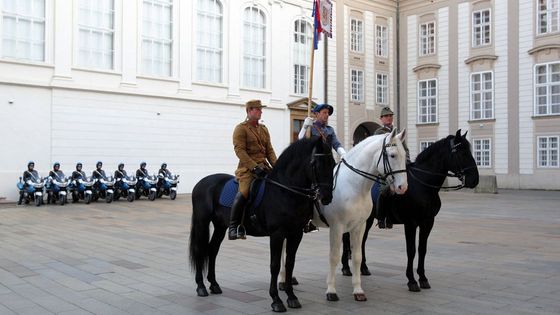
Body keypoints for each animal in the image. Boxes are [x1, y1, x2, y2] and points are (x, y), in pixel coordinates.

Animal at [190, 138, 334, 314]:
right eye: (316, 164)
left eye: (333, 164)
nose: (327, 197)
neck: (286, 191)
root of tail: (201, 182)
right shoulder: (277, 235)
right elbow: (275, 265)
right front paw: (276, 300)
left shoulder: (296, 234)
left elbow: (290, 264)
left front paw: (292, 297)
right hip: (202, 222)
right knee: (200, 249)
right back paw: (201, 287)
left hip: (220, 226)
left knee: (212, 250)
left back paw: (214, 285)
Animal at [278, 129, 406, 304]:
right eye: (392, 155)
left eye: (405, 154)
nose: (402, 187)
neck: (354, 186)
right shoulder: (337, 227)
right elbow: (334, 256)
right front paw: (331, 290)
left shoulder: (359, 226)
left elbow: (357, 256)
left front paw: (358, 290)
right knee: (283, 248)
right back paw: (282, 280)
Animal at [342, 130, 476, 292]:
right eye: (462, 153)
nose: (475, 179)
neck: (422, 186)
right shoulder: (410, 223)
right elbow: (411, 250)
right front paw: (412, 280)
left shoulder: (428, 222)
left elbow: (422, 249)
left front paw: (423, 278)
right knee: (346, 239)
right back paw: (346, 268)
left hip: (367, 220)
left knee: (362, 241)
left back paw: (363, 267)